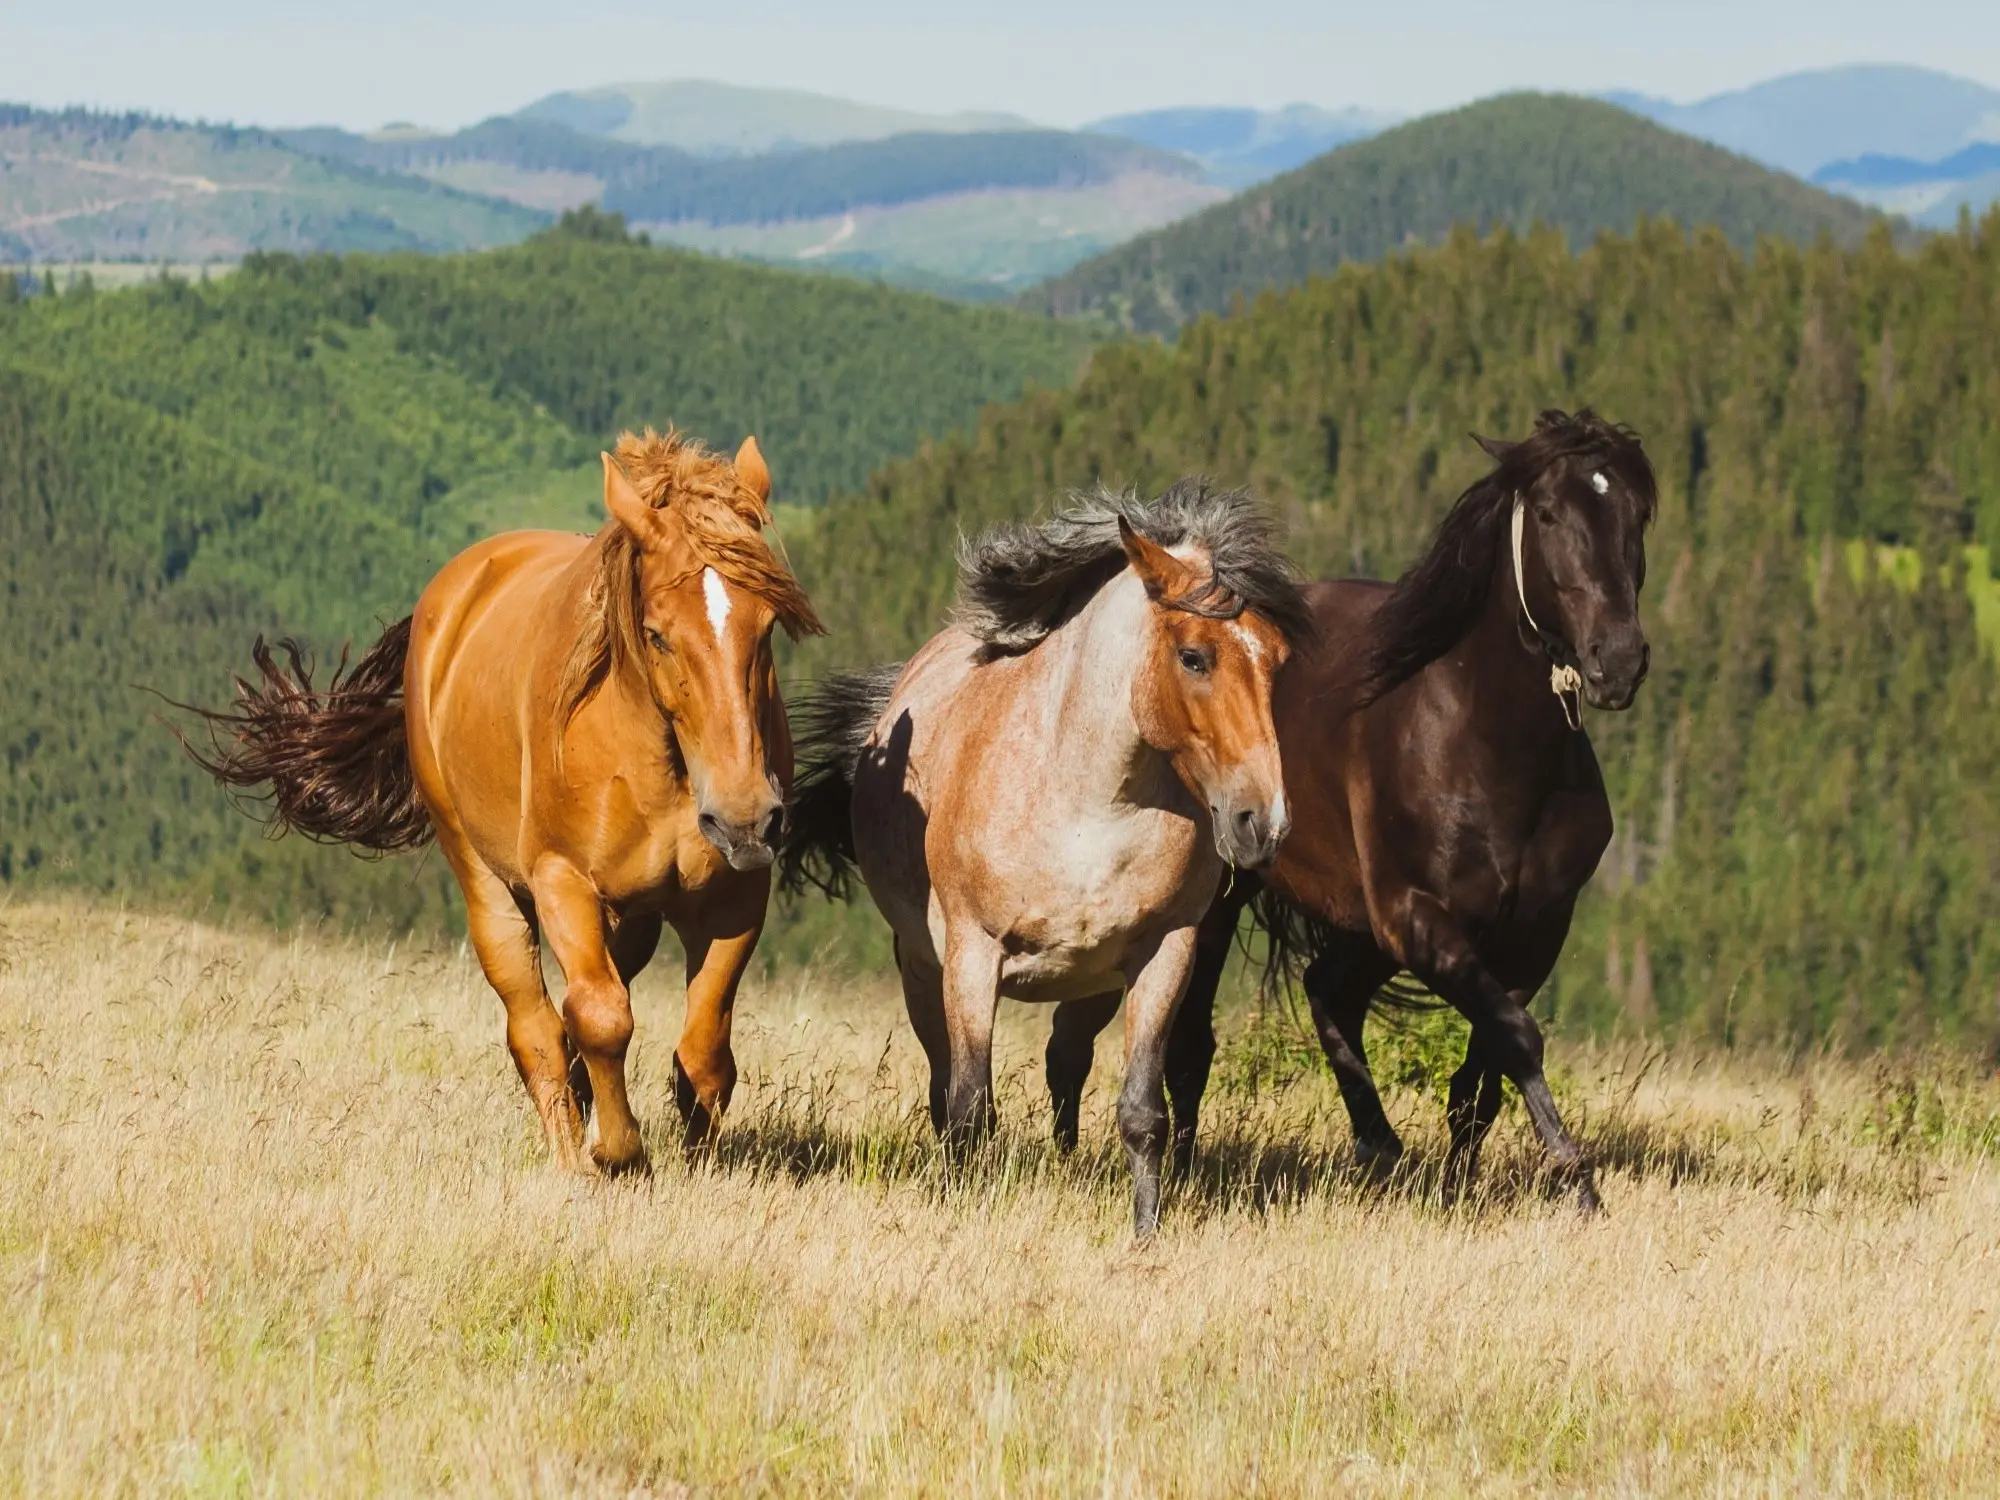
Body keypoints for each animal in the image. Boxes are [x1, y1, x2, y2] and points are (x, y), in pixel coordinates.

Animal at [182, 432, 820, 1176]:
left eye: (767, 625)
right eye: (659, 633)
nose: (745, 816)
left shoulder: (734, 900)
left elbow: (704, 1053)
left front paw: (698, 1164)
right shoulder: (562, 881)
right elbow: (600, 1017)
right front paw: (618, 1153)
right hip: (487, 881)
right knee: (537, 1025)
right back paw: (571, 1151)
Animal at [776, 488, 1312, 1240]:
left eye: (1278, 659)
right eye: (1194, 657)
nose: (1261, 823)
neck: (1086, 805)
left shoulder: (1164, 954)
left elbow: (1143, 1109)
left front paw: (1146, 1233)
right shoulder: (973, 957)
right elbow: (969, 1107)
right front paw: (962, 1212)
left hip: (1092, 986)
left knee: (1066, 1060)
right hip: (924, 973)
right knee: (947, 1085)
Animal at [1048, 408, 1656, 1208]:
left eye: (1638, 514)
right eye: (1552, 513)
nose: (1618, 660)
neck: (1488, 745)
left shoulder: (1532, 933)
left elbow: (1484, 1070)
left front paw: (1462, 1183)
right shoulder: (1417, 920)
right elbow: (1518, 1037)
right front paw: (1575, 1178)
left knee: (1326, 991)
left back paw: (1378, 1144)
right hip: (1224, 904)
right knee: (1190, 1045)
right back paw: (1179, 1169)